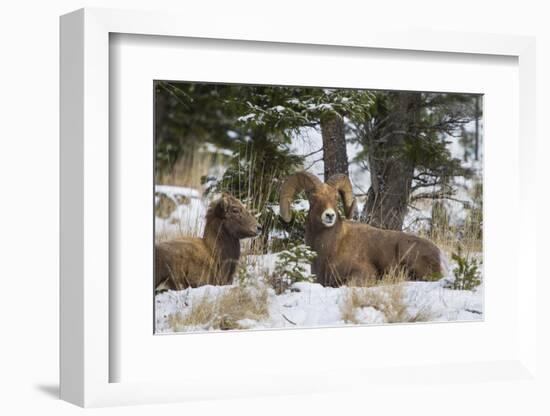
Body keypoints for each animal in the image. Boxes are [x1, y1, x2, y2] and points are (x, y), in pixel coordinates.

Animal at [280, 171, 448, 286]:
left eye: (335, 197)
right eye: (313, 197)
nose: (329, 215)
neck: (329, 248)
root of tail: (439, 255)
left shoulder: (363, 273)